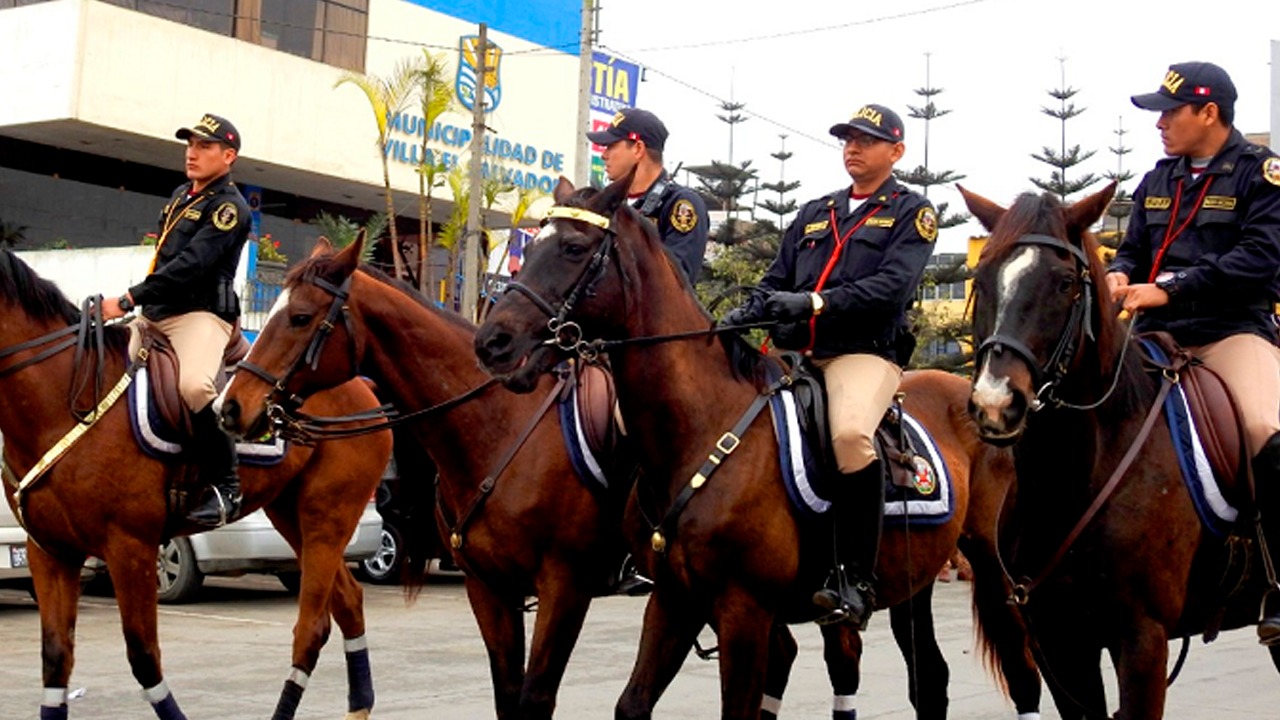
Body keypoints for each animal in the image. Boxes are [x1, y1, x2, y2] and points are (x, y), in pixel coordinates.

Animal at [0, 248, 389, 717]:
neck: (62, 398)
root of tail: (362, 389)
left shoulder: (130, 546)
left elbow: (143, 656)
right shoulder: (50, 551)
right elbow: (56, 658)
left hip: (327, 517)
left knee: (316, 622)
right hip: (291, 516)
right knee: (348, 600)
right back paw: (360, 703)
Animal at [471, 179, 1039, 717]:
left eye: (572, 247)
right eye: (533, 243)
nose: (492, 342)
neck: (702, 424)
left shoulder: (743, 610)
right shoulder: (675, 599)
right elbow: (632, 704)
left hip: (989, 563)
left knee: (1022, 671)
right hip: (914, 581)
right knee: (931, 682)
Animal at [962, 184, 1280, 717]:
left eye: (1064, 283)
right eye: (981, 280)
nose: (996, 403)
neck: (1071, 477)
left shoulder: (1142, 640)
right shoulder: (1060, 643)